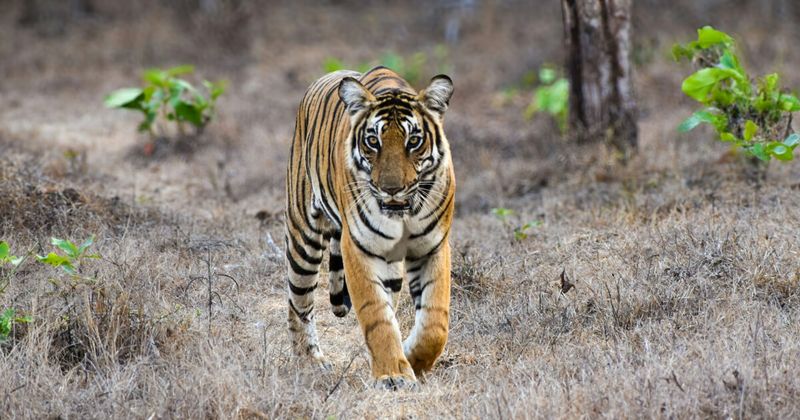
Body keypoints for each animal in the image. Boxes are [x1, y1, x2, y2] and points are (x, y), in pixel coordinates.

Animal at [284, 66, 455, 389]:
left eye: (414, 141)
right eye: (373, 141)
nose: (392, 189)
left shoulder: (432, 246)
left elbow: (435, 323)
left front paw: (412, 358)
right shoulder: (359, 248)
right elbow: (376, 315)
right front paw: (393, 374)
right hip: (303, 238)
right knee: (298, 304)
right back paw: (309, 362)